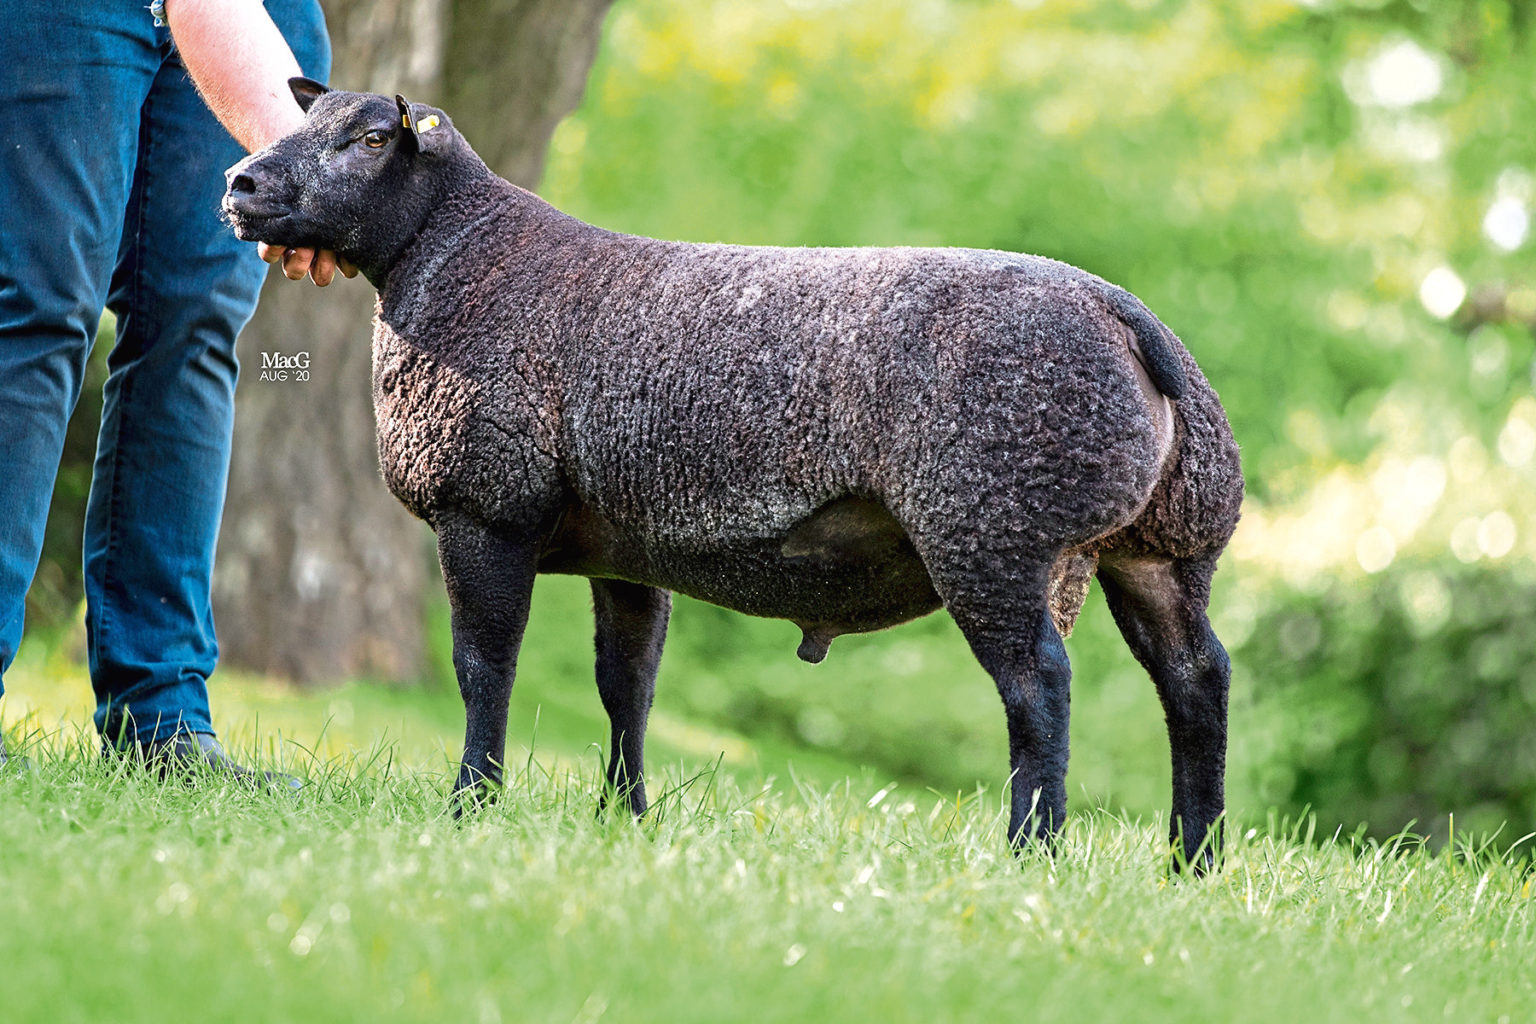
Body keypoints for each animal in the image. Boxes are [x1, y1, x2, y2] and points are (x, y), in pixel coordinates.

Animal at [222, 82, 1241, 872]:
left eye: (368, 139)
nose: (240, 182)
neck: (457, 254)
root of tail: (1127, 317)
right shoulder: (626, 550)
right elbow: (627, 684)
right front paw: (622, 818)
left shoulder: (486, 509)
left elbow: (486, 670)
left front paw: (471, 806)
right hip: (1161, 549)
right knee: (1197, 679)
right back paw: (1190, 866)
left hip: (993, 532)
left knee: (1039, 687)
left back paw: (1032, 853)